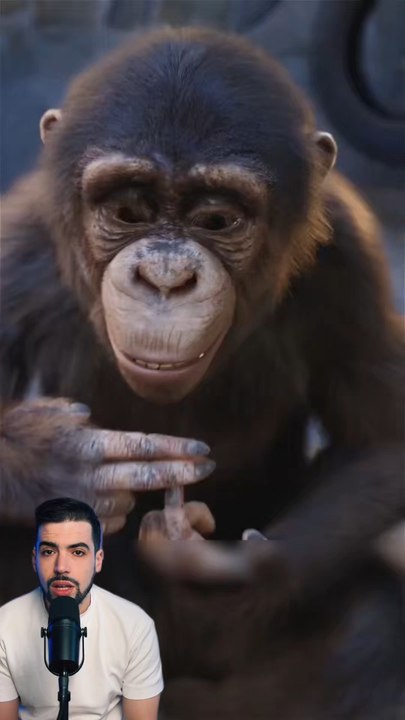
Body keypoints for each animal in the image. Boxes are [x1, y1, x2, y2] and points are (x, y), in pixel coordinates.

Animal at [1, 27, 404, 719]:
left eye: (217, 220)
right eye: (129, 211)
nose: (166, 277)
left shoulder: (350, 254)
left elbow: (377, 443)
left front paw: (219, 579)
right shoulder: (9, 255)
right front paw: (55, 459)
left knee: (376, 624)